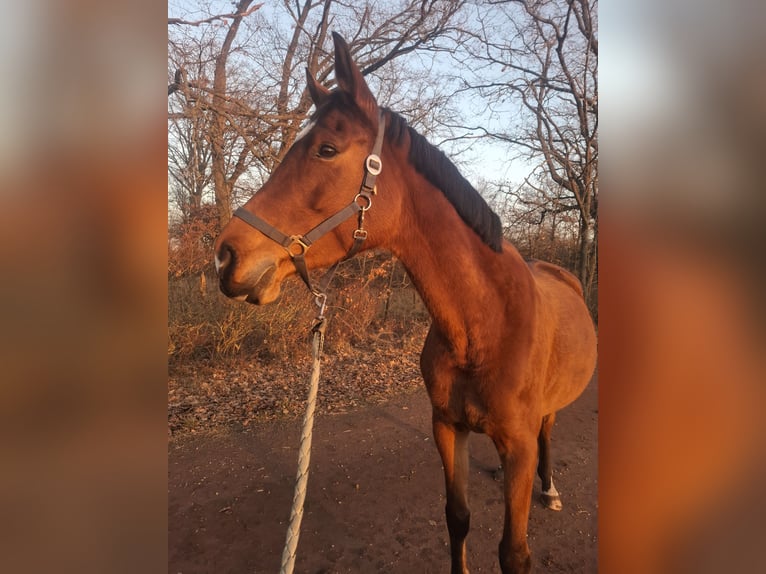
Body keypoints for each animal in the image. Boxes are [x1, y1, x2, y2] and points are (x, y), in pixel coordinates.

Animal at [214, 32, 597, 574]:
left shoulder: (518, 447)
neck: (483, 326)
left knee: (548, 432)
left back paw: (550, 489)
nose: (226, 255)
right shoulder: (447, 428)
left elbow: (513, 552)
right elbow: (457, 519)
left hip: (544, 420)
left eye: (326, 149)